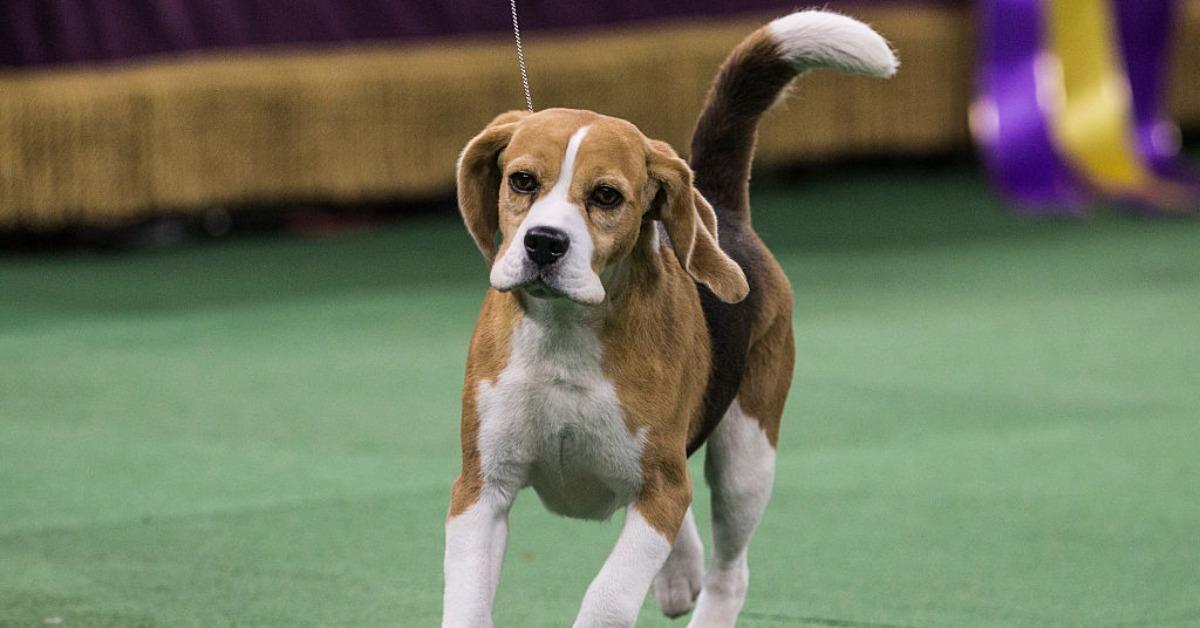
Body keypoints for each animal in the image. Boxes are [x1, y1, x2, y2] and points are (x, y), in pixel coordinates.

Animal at [441, 11, 892, 628]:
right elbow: (467, 601)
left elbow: (607, 598)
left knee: (731, 570)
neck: (565, 333)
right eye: (522, 181)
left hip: (747, 456)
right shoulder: (481, 488)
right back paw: (680, 575)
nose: (544, 243)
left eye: (607, 196)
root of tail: (722, 209)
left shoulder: (659, 494)